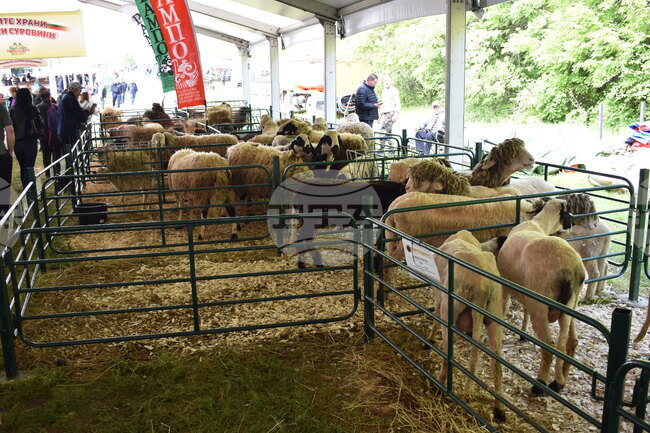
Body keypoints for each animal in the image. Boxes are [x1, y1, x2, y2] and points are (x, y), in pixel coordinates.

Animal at [426, 230, 505, 422]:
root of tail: (483, 286)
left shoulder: (439, 298)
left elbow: (435, 316)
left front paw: (429, 340)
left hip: (450, 309)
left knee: (448, 352)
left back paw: (440, 384)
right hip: (494, 317)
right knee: (497, 363)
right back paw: (498, 410)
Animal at [497, 198, 585, 396]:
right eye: (568, 212)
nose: (573, 222)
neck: (538, 225)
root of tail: (570, 270)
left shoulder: (505, 286)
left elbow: (504, 308)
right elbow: (523, 311)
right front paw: (523, 333)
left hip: (540, 305)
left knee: (549, 345)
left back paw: (540, 384)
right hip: (571, 305)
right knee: (569, 342)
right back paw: (559, 381)